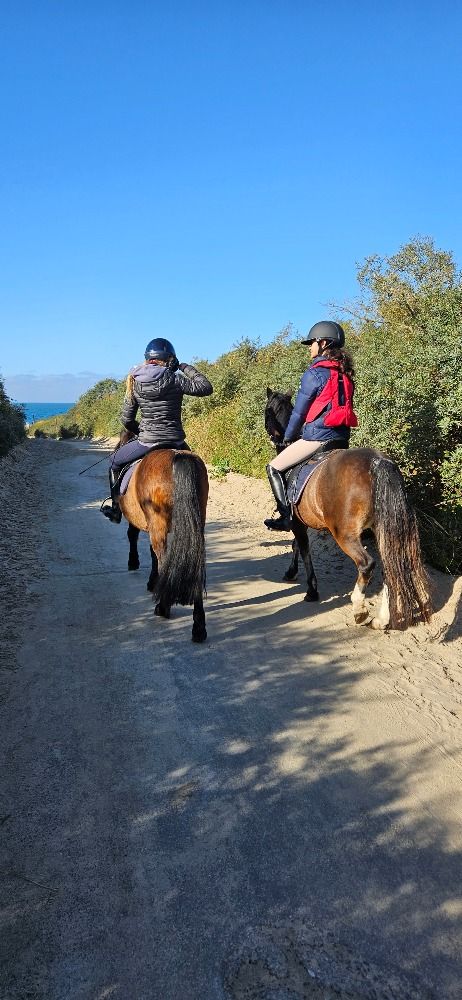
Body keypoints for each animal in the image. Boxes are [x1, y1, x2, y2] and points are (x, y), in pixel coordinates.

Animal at [115, 432, 208, 642]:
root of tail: (178, 457)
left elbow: (133, 537)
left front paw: (135, 564)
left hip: (158, 525)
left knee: (163, 559)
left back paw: (163, 607)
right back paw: (199, 627)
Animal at [264, 389, 432, 631]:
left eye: (267, 411)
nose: (271, 435)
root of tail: (378, 462)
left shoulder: (296, 522)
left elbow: (303, 550)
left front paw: (311, 590)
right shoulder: (301, 522)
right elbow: (296, 546)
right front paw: (291, 572)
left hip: (345, 533)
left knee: (366, 564)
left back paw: (359, 610)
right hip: (381, 530)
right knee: (390, 568)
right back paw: (381, 620)